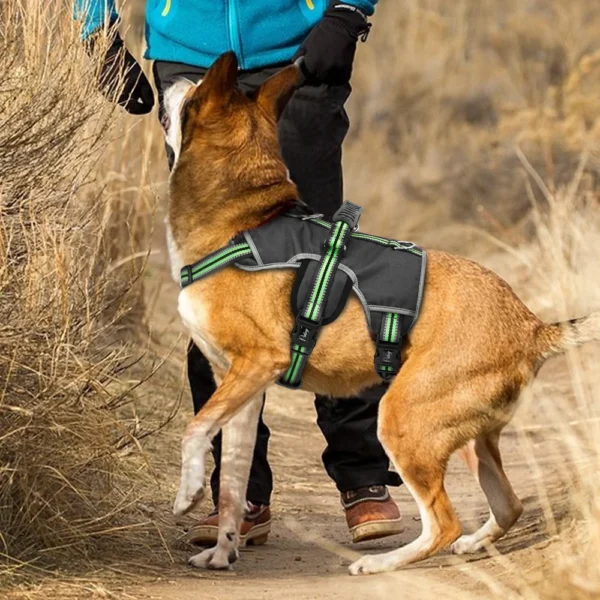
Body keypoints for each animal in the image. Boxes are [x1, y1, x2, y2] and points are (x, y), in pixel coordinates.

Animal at [164, 52, 600, 576]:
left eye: (193, 93)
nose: (172, 79)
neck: (242, 222)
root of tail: (530, 326)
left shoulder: (257, 363)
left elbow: (193, 430)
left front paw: (187, 493)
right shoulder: (244, 393)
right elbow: (231, 482)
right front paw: (222, 549)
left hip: (399, 419)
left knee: (442, 522)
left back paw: (383, 562)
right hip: (469, 439)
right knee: (508, 505)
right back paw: (471, 544)